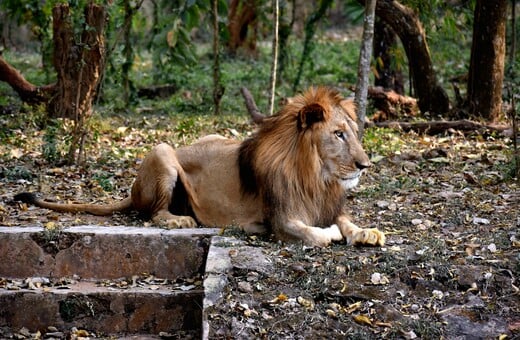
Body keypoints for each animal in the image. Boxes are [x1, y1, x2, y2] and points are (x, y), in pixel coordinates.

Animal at [14, 86, 384, 247]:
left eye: (354, 133)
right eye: (338, 134)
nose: (365, 165)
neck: (316, 176)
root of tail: (132, 190)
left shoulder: (326, 203)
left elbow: (345, 221)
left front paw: (367, 232)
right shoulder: (280, 218)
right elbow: (316, 234)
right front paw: (331, 233)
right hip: (163, 151)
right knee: (152, 214)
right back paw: (178, 220)